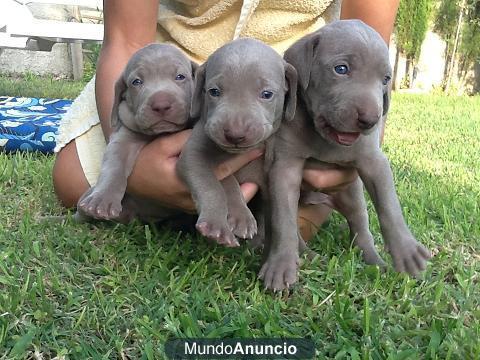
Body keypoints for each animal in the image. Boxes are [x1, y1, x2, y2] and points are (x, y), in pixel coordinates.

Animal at [76, 43, 195, 221]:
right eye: (136, 82)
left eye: (180, 77)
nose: (161, 104)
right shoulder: (123, 138)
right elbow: (114, 165)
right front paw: (102, 199)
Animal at [176, 38, 296, 248]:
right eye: (214, 91)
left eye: (267, 94)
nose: (235, 134)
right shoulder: (193, 154)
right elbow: (215, 185)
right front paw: (218, 224)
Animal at [260, 19, 434, 290]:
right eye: (341, 69)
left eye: (385, 79)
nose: (370, 120)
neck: (324, 137)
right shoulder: (283, 169)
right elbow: (284, 222)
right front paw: (280, 265)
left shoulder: (374, 161)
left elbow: (389, 206)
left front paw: (406, 251)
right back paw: (307, 256)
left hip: (350, 195)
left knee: (361, 227)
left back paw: (375, 262)